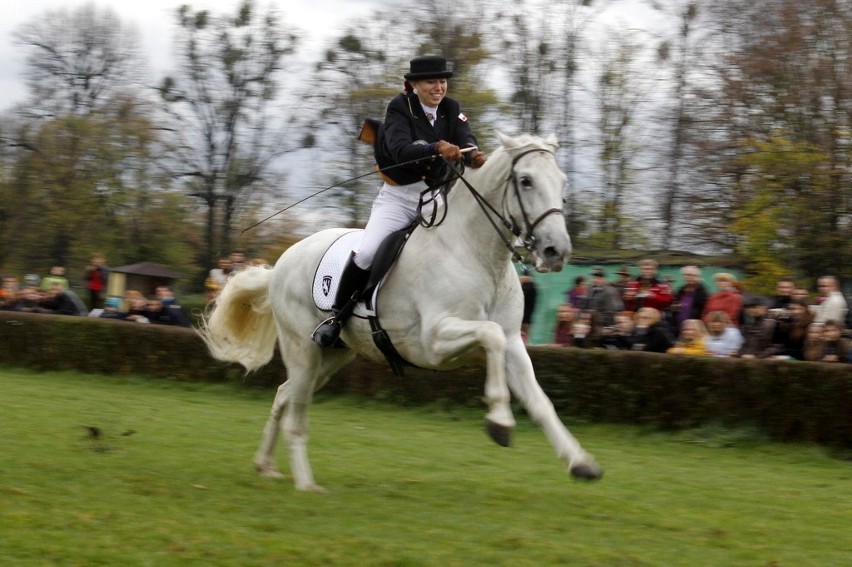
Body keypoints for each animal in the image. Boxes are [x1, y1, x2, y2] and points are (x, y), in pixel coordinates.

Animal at [201, 131, 600, 490]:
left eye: (562, 182)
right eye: (526, 180)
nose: (556, 251)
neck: (478, 256)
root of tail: (281, 264)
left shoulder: (512, 342)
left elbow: (539, 401)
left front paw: (580, 462)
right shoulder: (435, 341)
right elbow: (489, 338)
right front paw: (500, 423)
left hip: (335, 355)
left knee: (286, 394)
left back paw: (266, 466)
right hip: (303, 349)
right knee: (295, 413)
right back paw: (306, 484)